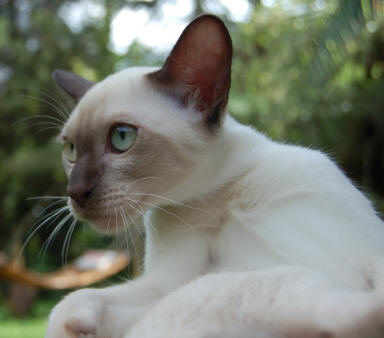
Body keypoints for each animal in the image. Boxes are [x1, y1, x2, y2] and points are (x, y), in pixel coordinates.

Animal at [43, 13, 384, 338]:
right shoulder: (170, 279)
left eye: (121, 137)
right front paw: (73, 327)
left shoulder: (369, 248)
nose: (76, 192)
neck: (218, 193)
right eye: (71, 150)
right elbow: (73, 301)